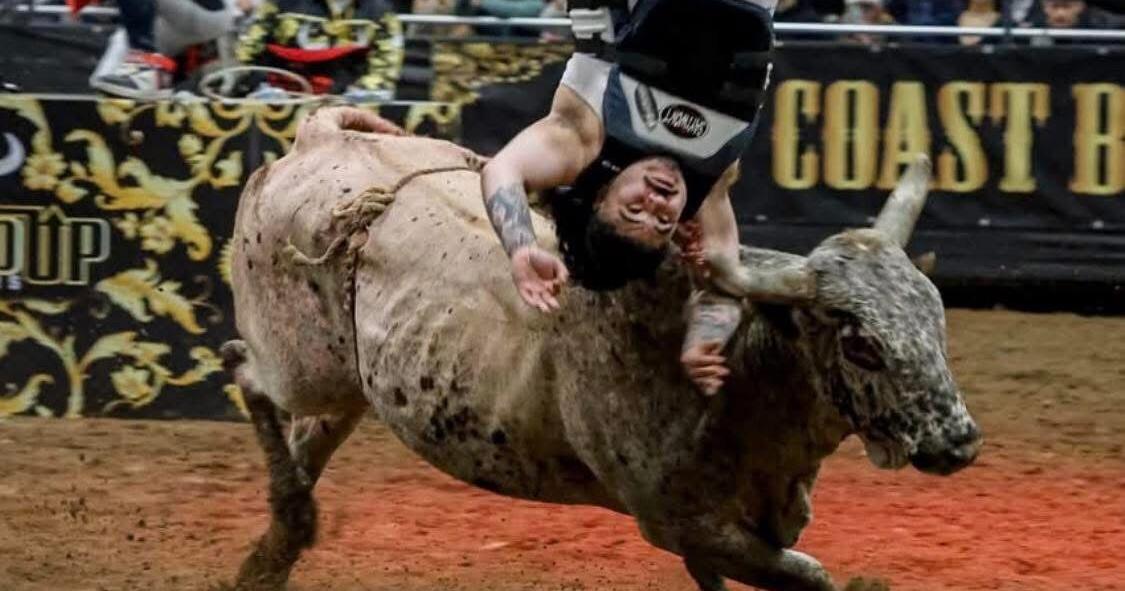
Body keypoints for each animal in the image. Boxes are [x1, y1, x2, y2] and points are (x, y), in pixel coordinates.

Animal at [221, 107, 982, 591]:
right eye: (859, 343)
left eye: (935, 316)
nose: (959, 441)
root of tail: (321, 136)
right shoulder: (680, 523)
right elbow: (813, 578)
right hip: (300, 362)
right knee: (247, 374)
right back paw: (289, 518)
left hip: (351, 383)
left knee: (310, 436)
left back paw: (272, 554)